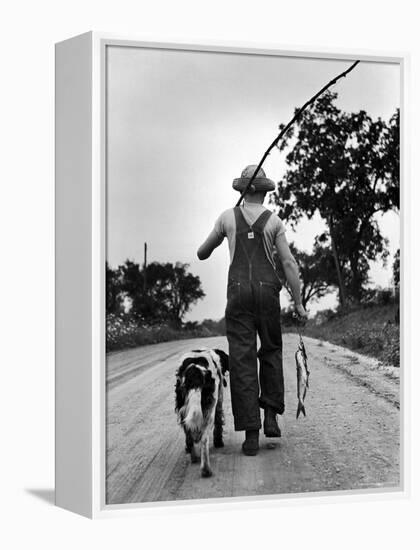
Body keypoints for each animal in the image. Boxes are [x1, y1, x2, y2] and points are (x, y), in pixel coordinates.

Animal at [176, 350, 231, 478]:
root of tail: (195, 373)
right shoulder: (218, 403)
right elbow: (219, 424)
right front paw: (219, 442)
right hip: (209, 411)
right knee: (204, 439)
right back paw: (206, 470)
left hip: (183, 410)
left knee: (189, 437)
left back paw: (194, 458)